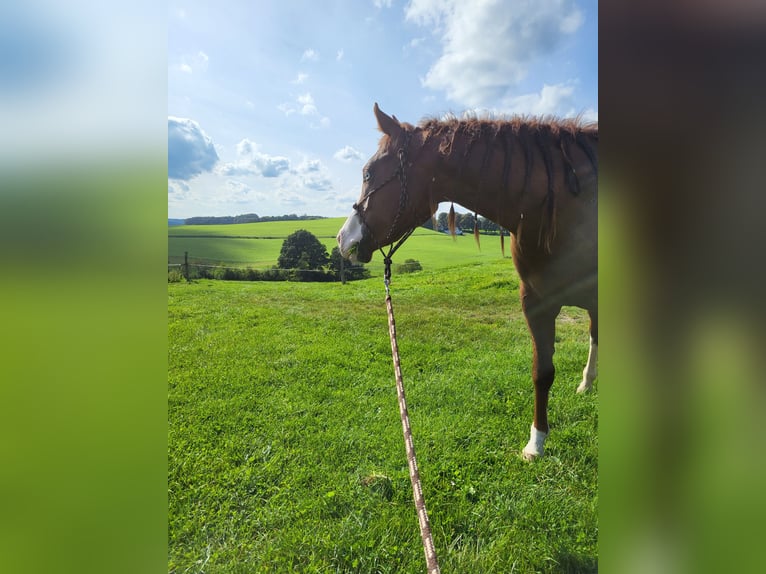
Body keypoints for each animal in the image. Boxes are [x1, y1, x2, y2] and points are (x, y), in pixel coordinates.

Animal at [340, 103, 600, 462]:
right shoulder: (535, 302)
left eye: (368, 174)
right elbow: (542, 372)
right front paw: (536, 442)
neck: (561, 205)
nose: (343, 239)